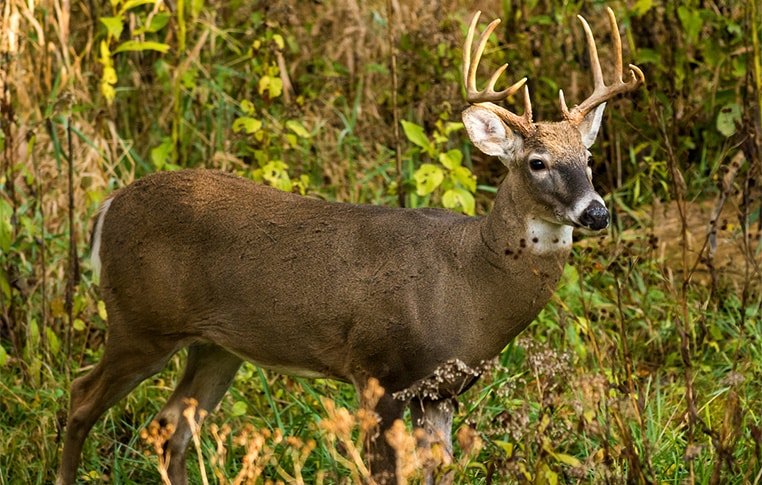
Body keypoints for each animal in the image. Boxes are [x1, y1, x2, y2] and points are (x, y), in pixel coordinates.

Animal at [58, 8, 640, 484]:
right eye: (538, 162)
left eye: (588, 158)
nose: (596, 212)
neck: (469, 283)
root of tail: (107, 206)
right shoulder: (377, 371)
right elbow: (383, 474)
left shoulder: (441, 391)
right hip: (139, 321)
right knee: (82, 398)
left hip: (216, 345)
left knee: (171, 426)